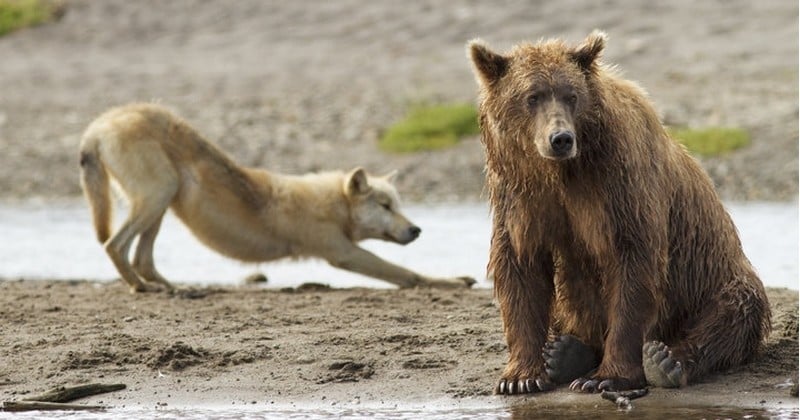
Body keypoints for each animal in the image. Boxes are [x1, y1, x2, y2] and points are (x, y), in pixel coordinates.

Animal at [79, 102, 476, 292]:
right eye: (385, 205)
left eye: (398, 205)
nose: (417, 230)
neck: (334, 205)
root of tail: (98, 124)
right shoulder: (343, 253)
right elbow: (408, 273)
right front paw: (453, 282)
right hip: (159, 192)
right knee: (114, 245)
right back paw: (141, 287)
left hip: (163, 200)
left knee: (142, 257)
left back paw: (170, 287)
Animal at [468, 31, 768, 396]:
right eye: (532, 96)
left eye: (571, 95)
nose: (561, 139)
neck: (561, 173)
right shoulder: (521, 198)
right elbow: (520, 266)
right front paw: (520, 377)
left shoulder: (619, 183)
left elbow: (632, 264)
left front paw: (607, 376)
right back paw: (565, 352)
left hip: (715, 279)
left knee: (732, 312)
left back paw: (665, 361)